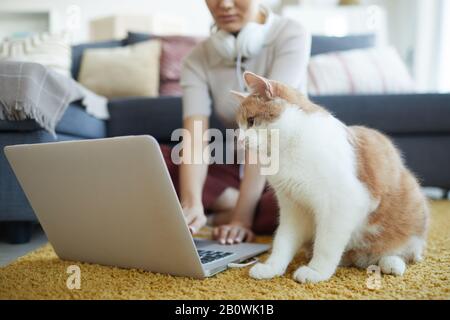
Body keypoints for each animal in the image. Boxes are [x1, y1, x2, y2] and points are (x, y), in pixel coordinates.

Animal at [234, 72, 430, 282]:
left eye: (251, 121)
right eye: (239, 125)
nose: (239, 140)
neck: (288, 149)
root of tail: (360, 258)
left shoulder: (341, 203)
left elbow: (326, 244)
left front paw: (316, 271)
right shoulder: (293, 207)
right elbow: (283, 241)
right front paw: (272, 267)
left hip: (412, 207)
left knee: (406, 251)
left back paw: (391, 263)